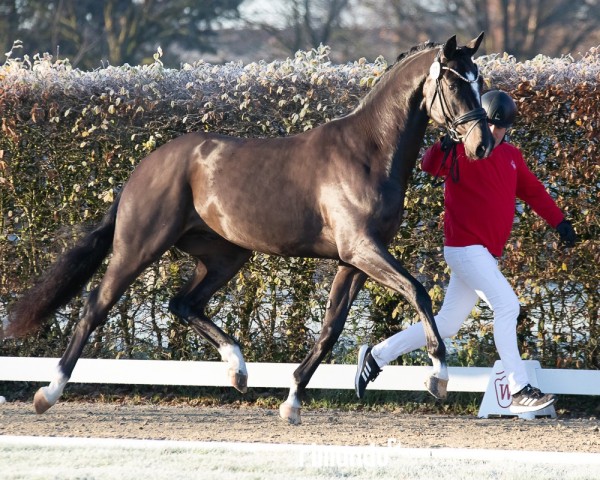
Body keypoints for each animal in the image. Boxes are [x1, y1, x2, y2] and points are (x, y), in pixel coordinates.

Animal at [8, 33, 492, 424]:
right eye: (455, 83)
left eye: (481, 81)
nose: (482, 143)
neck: (369, 152)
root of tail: (144, 167)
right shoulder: (362, 249)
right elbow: (418, 292)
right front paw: (439, 377)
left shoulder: (354, 259)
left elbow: (330, 327)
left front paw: (292, 400)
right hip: (139, 247)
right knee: (97, 307)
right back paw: (48, 392)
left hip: (225, 255)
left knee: (183, 303)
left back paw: (238, 369)